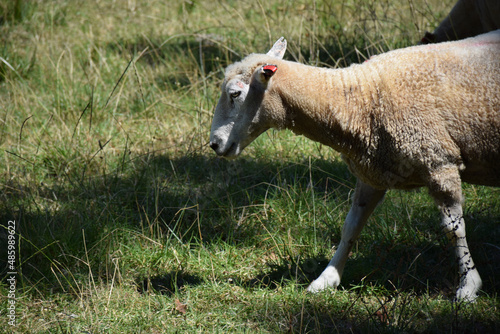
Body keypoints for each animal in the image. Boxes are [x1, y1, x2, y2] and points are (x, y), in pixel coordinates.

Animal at [208, 31, 500, 302]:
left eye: (235, 94)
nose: (214, 144)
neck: (359, 97)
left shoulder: (439, 162)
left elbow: (454, 229)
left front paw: (468, 286)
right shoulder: (372, 174)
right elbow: (351, 226)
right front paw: (326, 279)